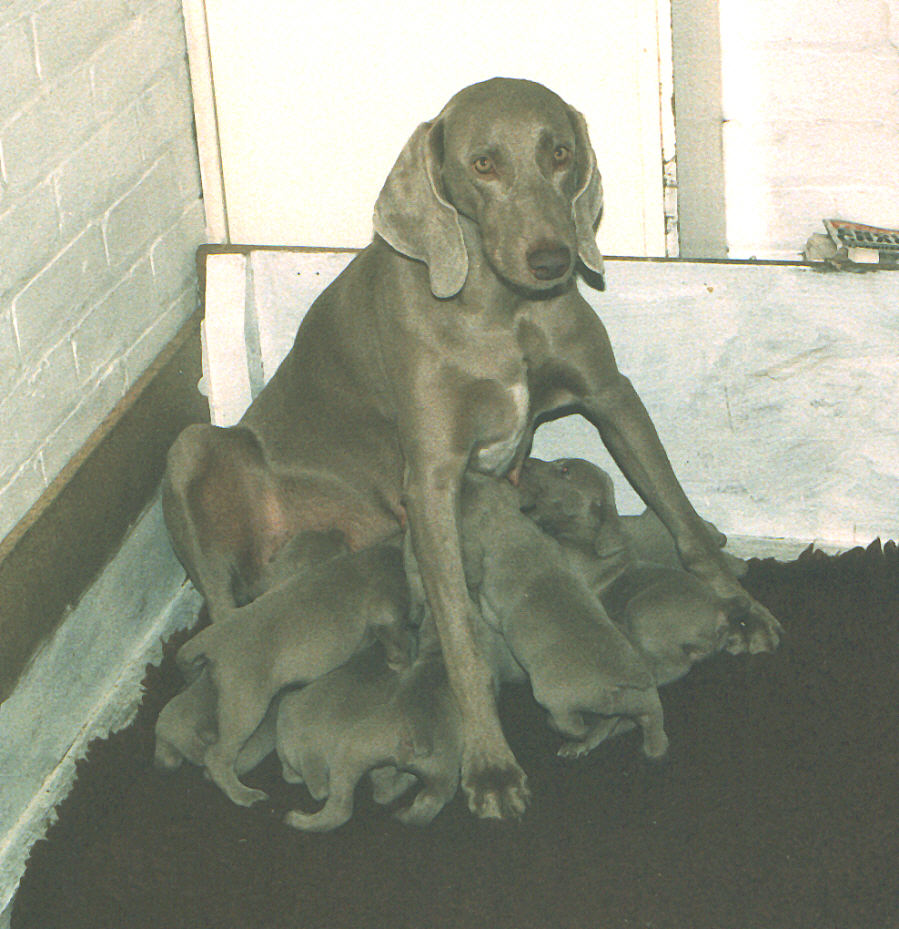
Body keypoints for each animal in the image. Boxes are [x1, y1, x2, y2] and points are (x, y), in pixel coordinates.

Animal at [165, 80, 784, 820]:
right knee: (223, 610)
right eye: (483, 164)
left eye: (559, 152)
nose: (551, 260)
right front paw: (488, 765)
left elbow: (681, 513)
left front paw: (741, 610)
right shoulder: (432, 477)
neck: (502, 309)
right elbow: (459, 630)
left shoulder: (611, 394)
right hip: (192, 448)